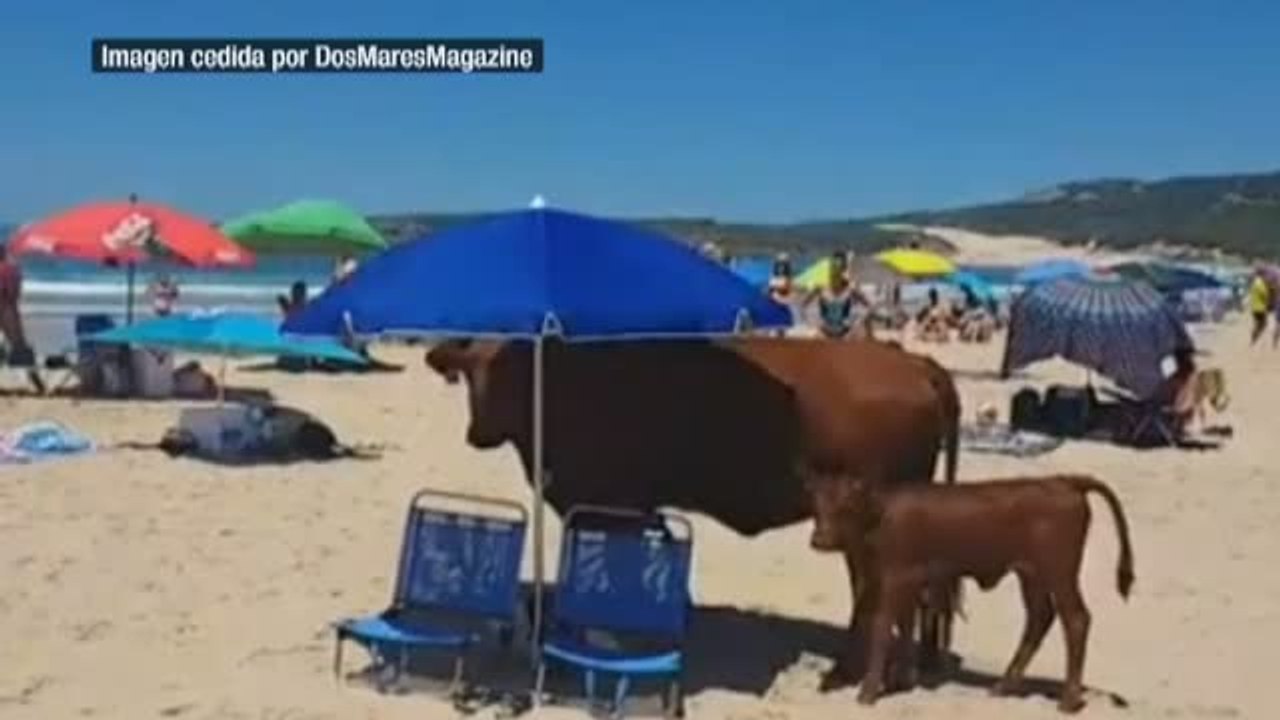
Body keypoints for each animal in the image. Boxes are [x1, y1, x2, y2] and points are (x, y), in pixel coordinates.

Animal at [424, 335, 961, 671]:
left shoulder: (602, 503)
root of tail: (911, 362)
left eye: (511, 368)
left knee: (873, 591)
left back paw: (851, 669)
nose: (478, 434)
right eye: (469, 370)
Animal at [807, 474, 1135, 713]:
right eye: (817, 505)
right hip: (1031, 575)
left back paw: (1068, 701)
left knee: (1076, 620)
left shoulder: (895, 579)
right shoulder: (902, 583)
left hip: (1059, 573)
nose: (819, 539)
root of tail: (1063, 481)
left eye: (847, 506)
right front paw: (901, 681)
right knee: (1039, 618)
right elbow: (904, 626)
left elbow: (882, 629)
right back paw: (1004, 686)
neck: (881, 517)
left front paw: (868, 692)